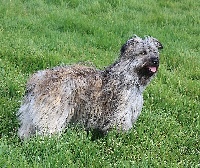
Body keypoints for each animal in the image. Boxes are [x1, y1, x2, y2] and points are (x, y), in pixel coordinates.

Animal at [17, 34, 162, 138]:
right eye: (143, 52)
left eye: (155, 52)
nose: (155, 60)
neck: (129, 75)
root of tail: (39, 79)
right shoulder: (121, 112)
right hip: (52, 112)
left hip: (33, 114)